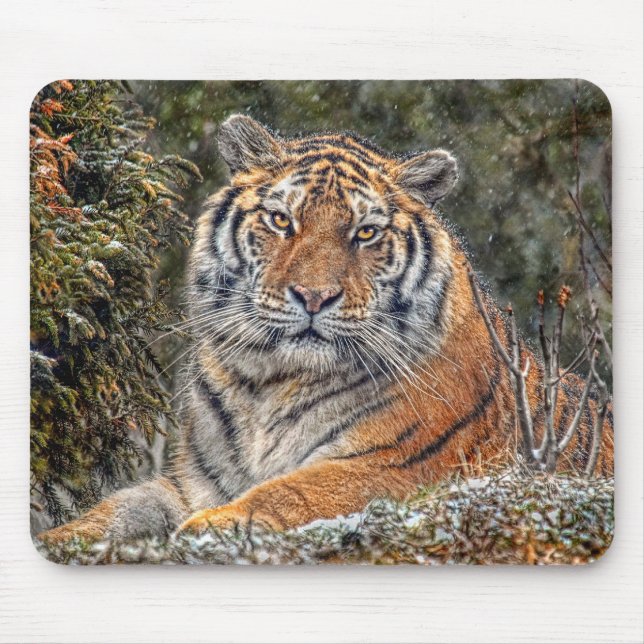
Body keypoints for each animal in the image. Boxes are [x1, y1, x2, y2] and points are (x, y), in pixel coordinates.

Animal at [39, 114, 613, 545]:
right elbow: (119, 507)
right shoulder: (193, 480)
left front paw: (212, 527)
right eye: (281, 221)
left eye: (366, 233)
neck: (269, 385)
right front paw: (58, 538)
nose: (314, 297)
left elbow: (290, 490)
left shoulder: (394, 466)